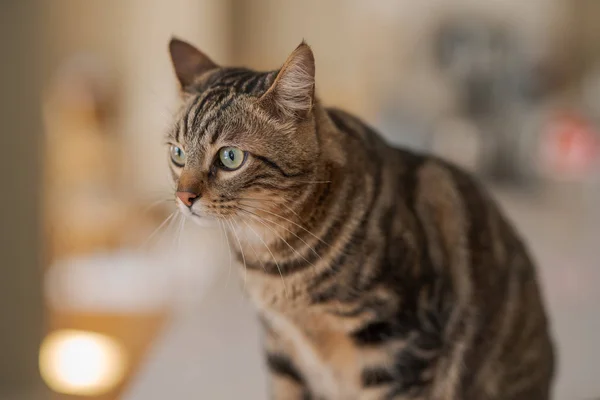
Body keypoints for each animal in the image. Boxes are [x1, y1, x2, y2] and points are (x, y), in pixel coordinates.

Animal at [166, 38, 556, 400]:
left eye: (230, 157)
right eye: (178, 153)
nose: (184, 197)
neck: (277, 263)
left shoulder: (398, 349)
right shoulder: (282, 352)